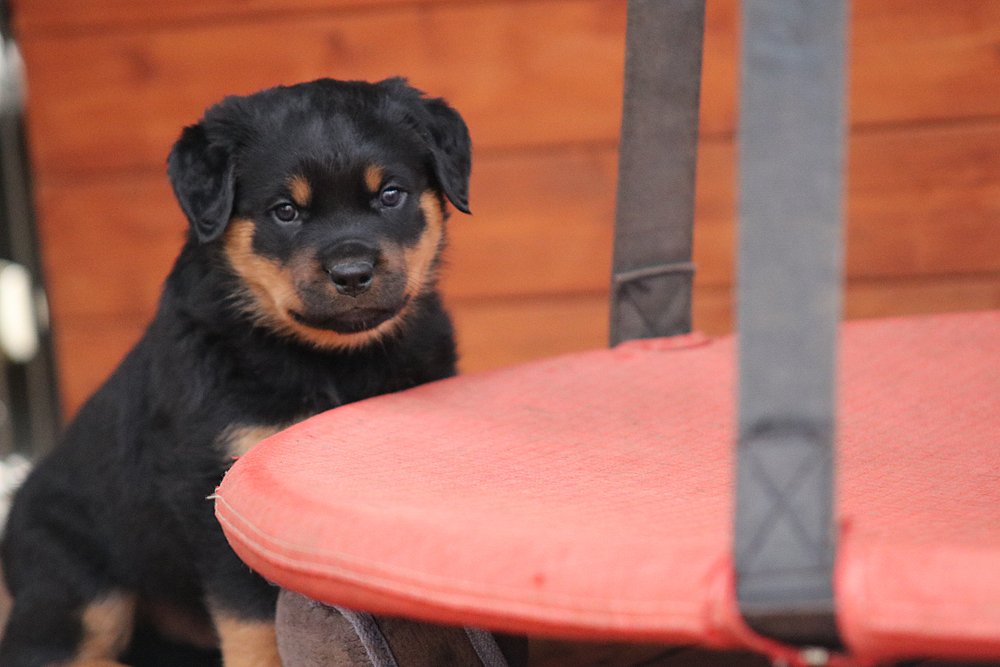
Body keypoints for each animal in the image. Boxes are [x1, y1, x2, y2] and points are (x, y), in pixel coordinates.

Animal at [0, 78, 524, 667]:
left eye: (391, 195)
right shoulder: (221, 491)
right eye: (285, 211)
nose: (352, 273)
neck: (332, 360)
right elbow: (253, 618)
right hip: (76, 587)